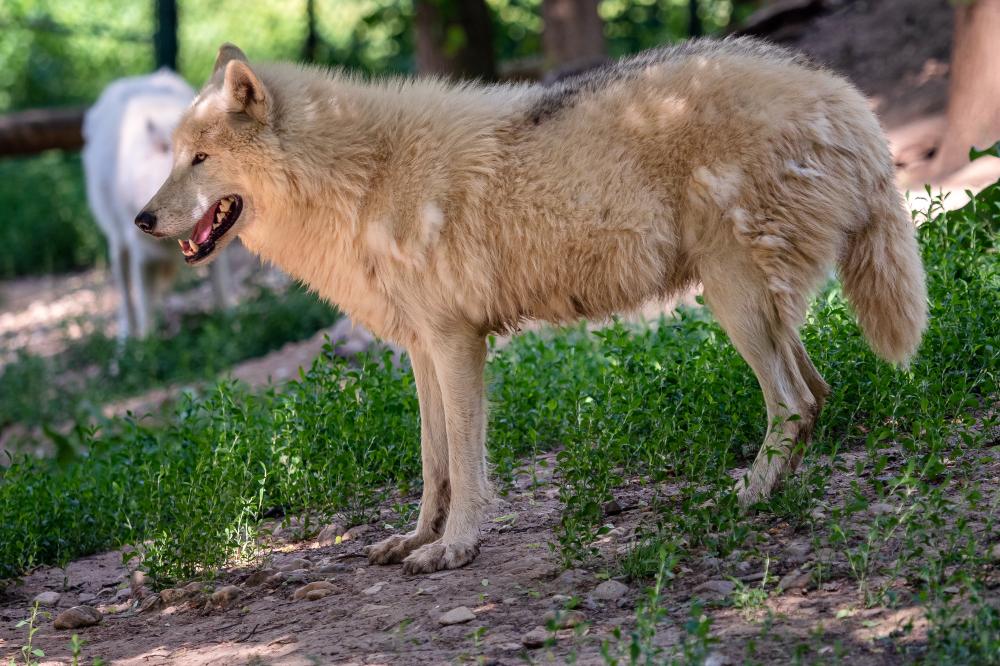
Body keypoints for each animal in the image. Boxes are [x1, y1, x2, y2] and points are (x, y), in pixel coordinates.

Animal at [83, 70, 232, 339]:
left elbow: (222, 293)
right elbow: (144, 310)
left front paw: (232, 326)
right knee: (127, 299)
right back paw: (126, 340)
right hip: (118, 246)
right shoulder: (142, 253)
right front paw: (147, 345)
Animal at [137, 40, 927, 574]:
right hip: (756, 308)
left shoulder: (459, 343)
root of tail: (841, 95)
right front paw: (418, 539)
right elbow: (433, 463)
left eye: (200, 159)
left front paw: (455, 548)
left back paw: (745, 498)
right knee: (817, 395)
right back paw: (774, 490)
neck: (362, 179)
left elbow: (465, 462)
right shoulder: (422, 349)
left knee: (793, 403)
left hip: (734, 305)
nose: (143, 219)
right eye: (173, 156)